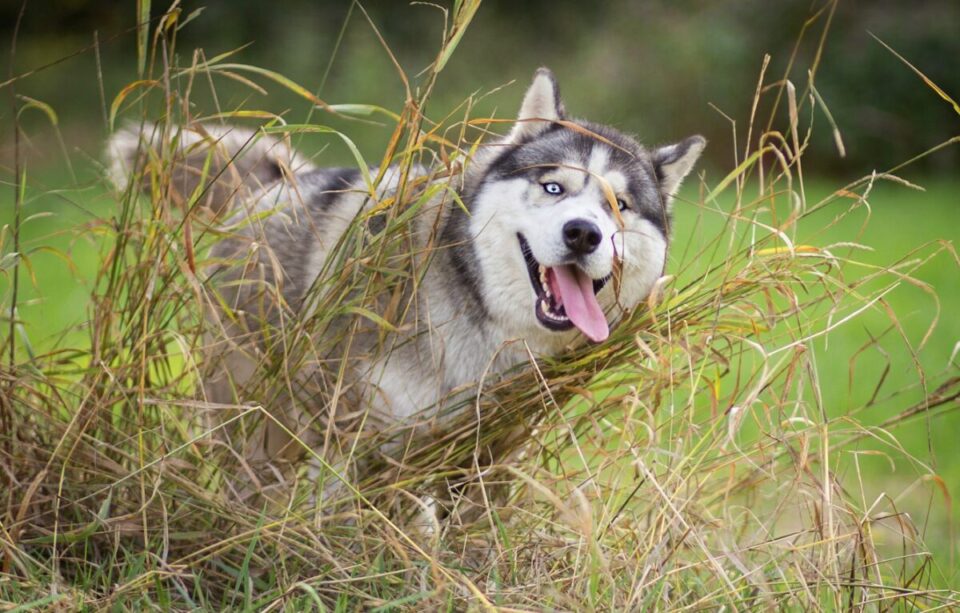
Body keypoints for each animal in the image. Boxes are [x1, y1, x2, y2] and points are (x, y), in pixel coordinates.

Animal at [107, 67, 704, 488]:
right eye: (554, 187)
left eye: (618, 205)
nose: (583, 233)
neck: (480, 331)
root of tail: (279, 184)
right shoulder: (355, 433)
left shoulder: (489, 453)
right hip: (256, 419)